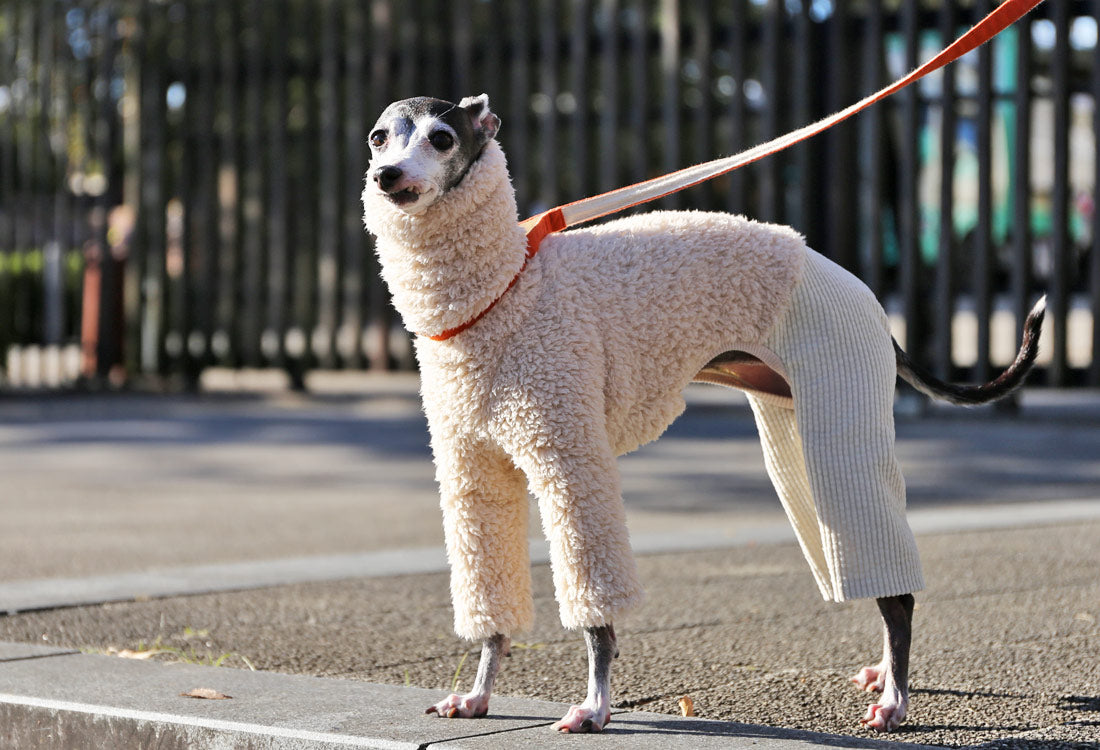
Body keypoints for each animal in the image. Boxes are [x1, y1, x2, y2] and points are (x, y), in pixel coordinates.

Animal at [363, 93, 1047, 730]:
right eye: (378, 137)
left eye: (442, 137)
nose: (386, 176)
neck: (503, 292)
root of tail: (874, 305)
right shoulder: (472, 474)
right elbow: (489, 608)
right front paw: (477, 694)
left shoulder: (571, 460)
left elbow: (597, 613)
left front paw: (594, 706)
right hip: (793, 433)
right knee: (868, 571)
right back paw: (882, 674)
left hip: (841, 417)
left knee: (896, 591)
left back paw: (896, 700)